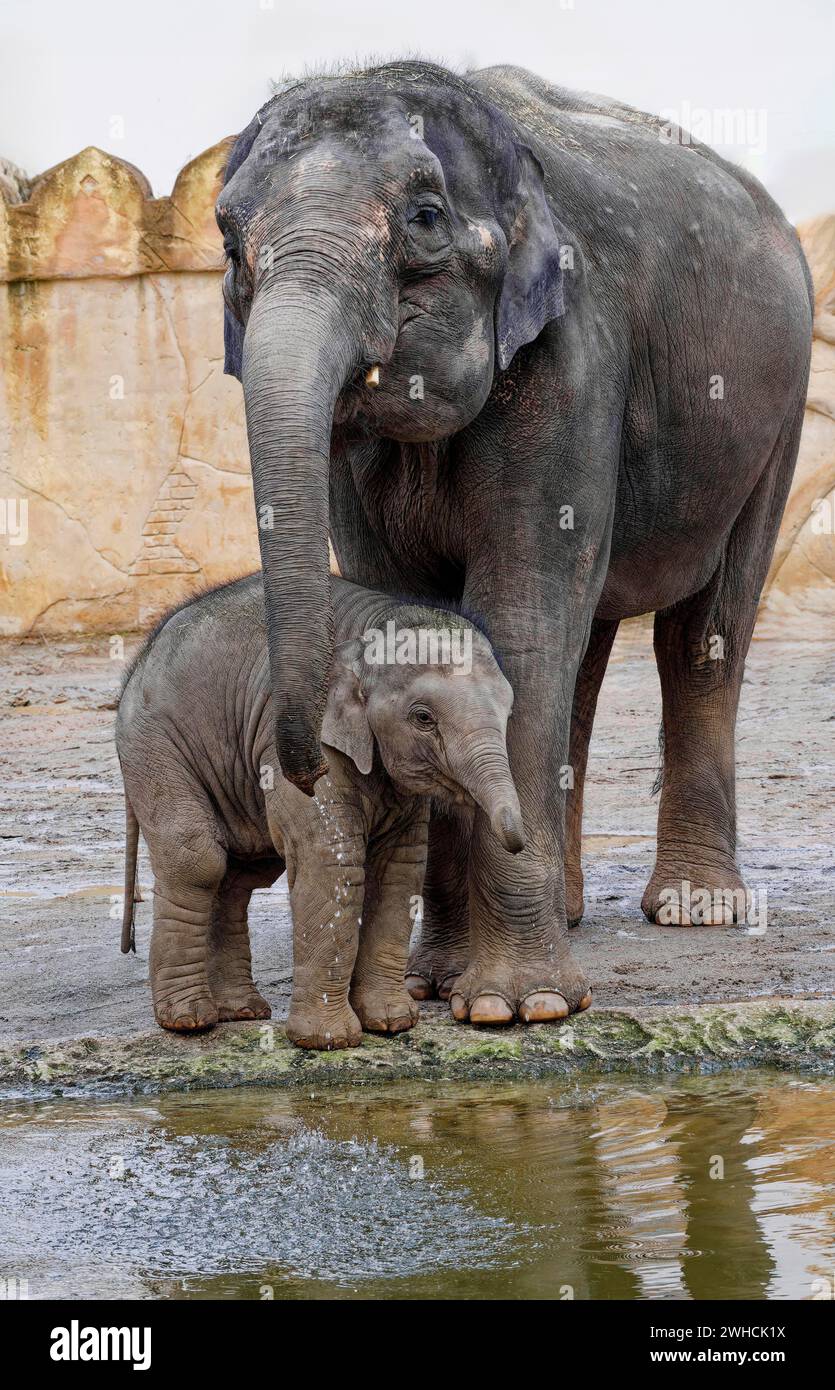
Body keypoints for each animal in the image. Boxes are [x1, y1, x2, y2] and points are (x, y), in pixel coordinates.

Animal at [117, 569, 522, 1045]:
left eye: (508, 713)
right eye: (423, 718)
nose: (516, 841)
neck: (373, 629)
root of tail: (135, 665)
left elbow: (400, 869)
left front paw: (392, 1023)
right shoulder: (303, 742)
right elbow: (332, 859)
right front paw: (331, 1041)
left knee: (240, 874)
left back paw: (241, 1012)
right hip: (154, 745)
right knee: (198, 860)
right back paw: (189, 1020)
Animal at [218, 59, 811, 1028]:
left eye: (424, 218)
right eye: (228, 239)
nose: (297, 770)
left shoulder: (570, 354)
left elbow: (521, 617)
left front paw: (516, 1006)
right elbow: (423, 623)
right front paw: (434, 985)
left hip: (778, 414)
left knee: (702, 636)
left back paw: (696, 909)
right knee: (589, 649)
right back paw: (569, 908)